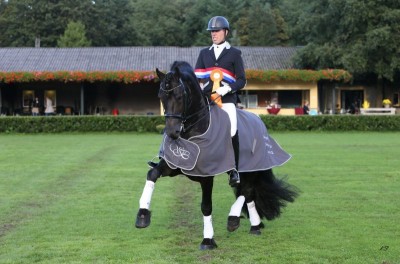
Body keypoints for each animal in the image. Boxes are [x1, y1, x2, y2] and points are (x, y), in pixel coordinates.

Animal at [136, 61, 298, 250]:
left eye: (179, 96)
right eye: (161, 96)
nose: (171, 133)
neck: (192, 131)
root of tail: (258, 121)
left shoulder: (207, 176)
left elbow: (206, 206)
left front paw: (208, 240)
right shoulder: (174, 166)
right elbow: (152, 174)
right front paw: (142, 215)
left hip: (251, 168)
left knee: (247, 190)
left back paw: (234, 218)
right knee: (249, 193)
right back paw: (255, 226)